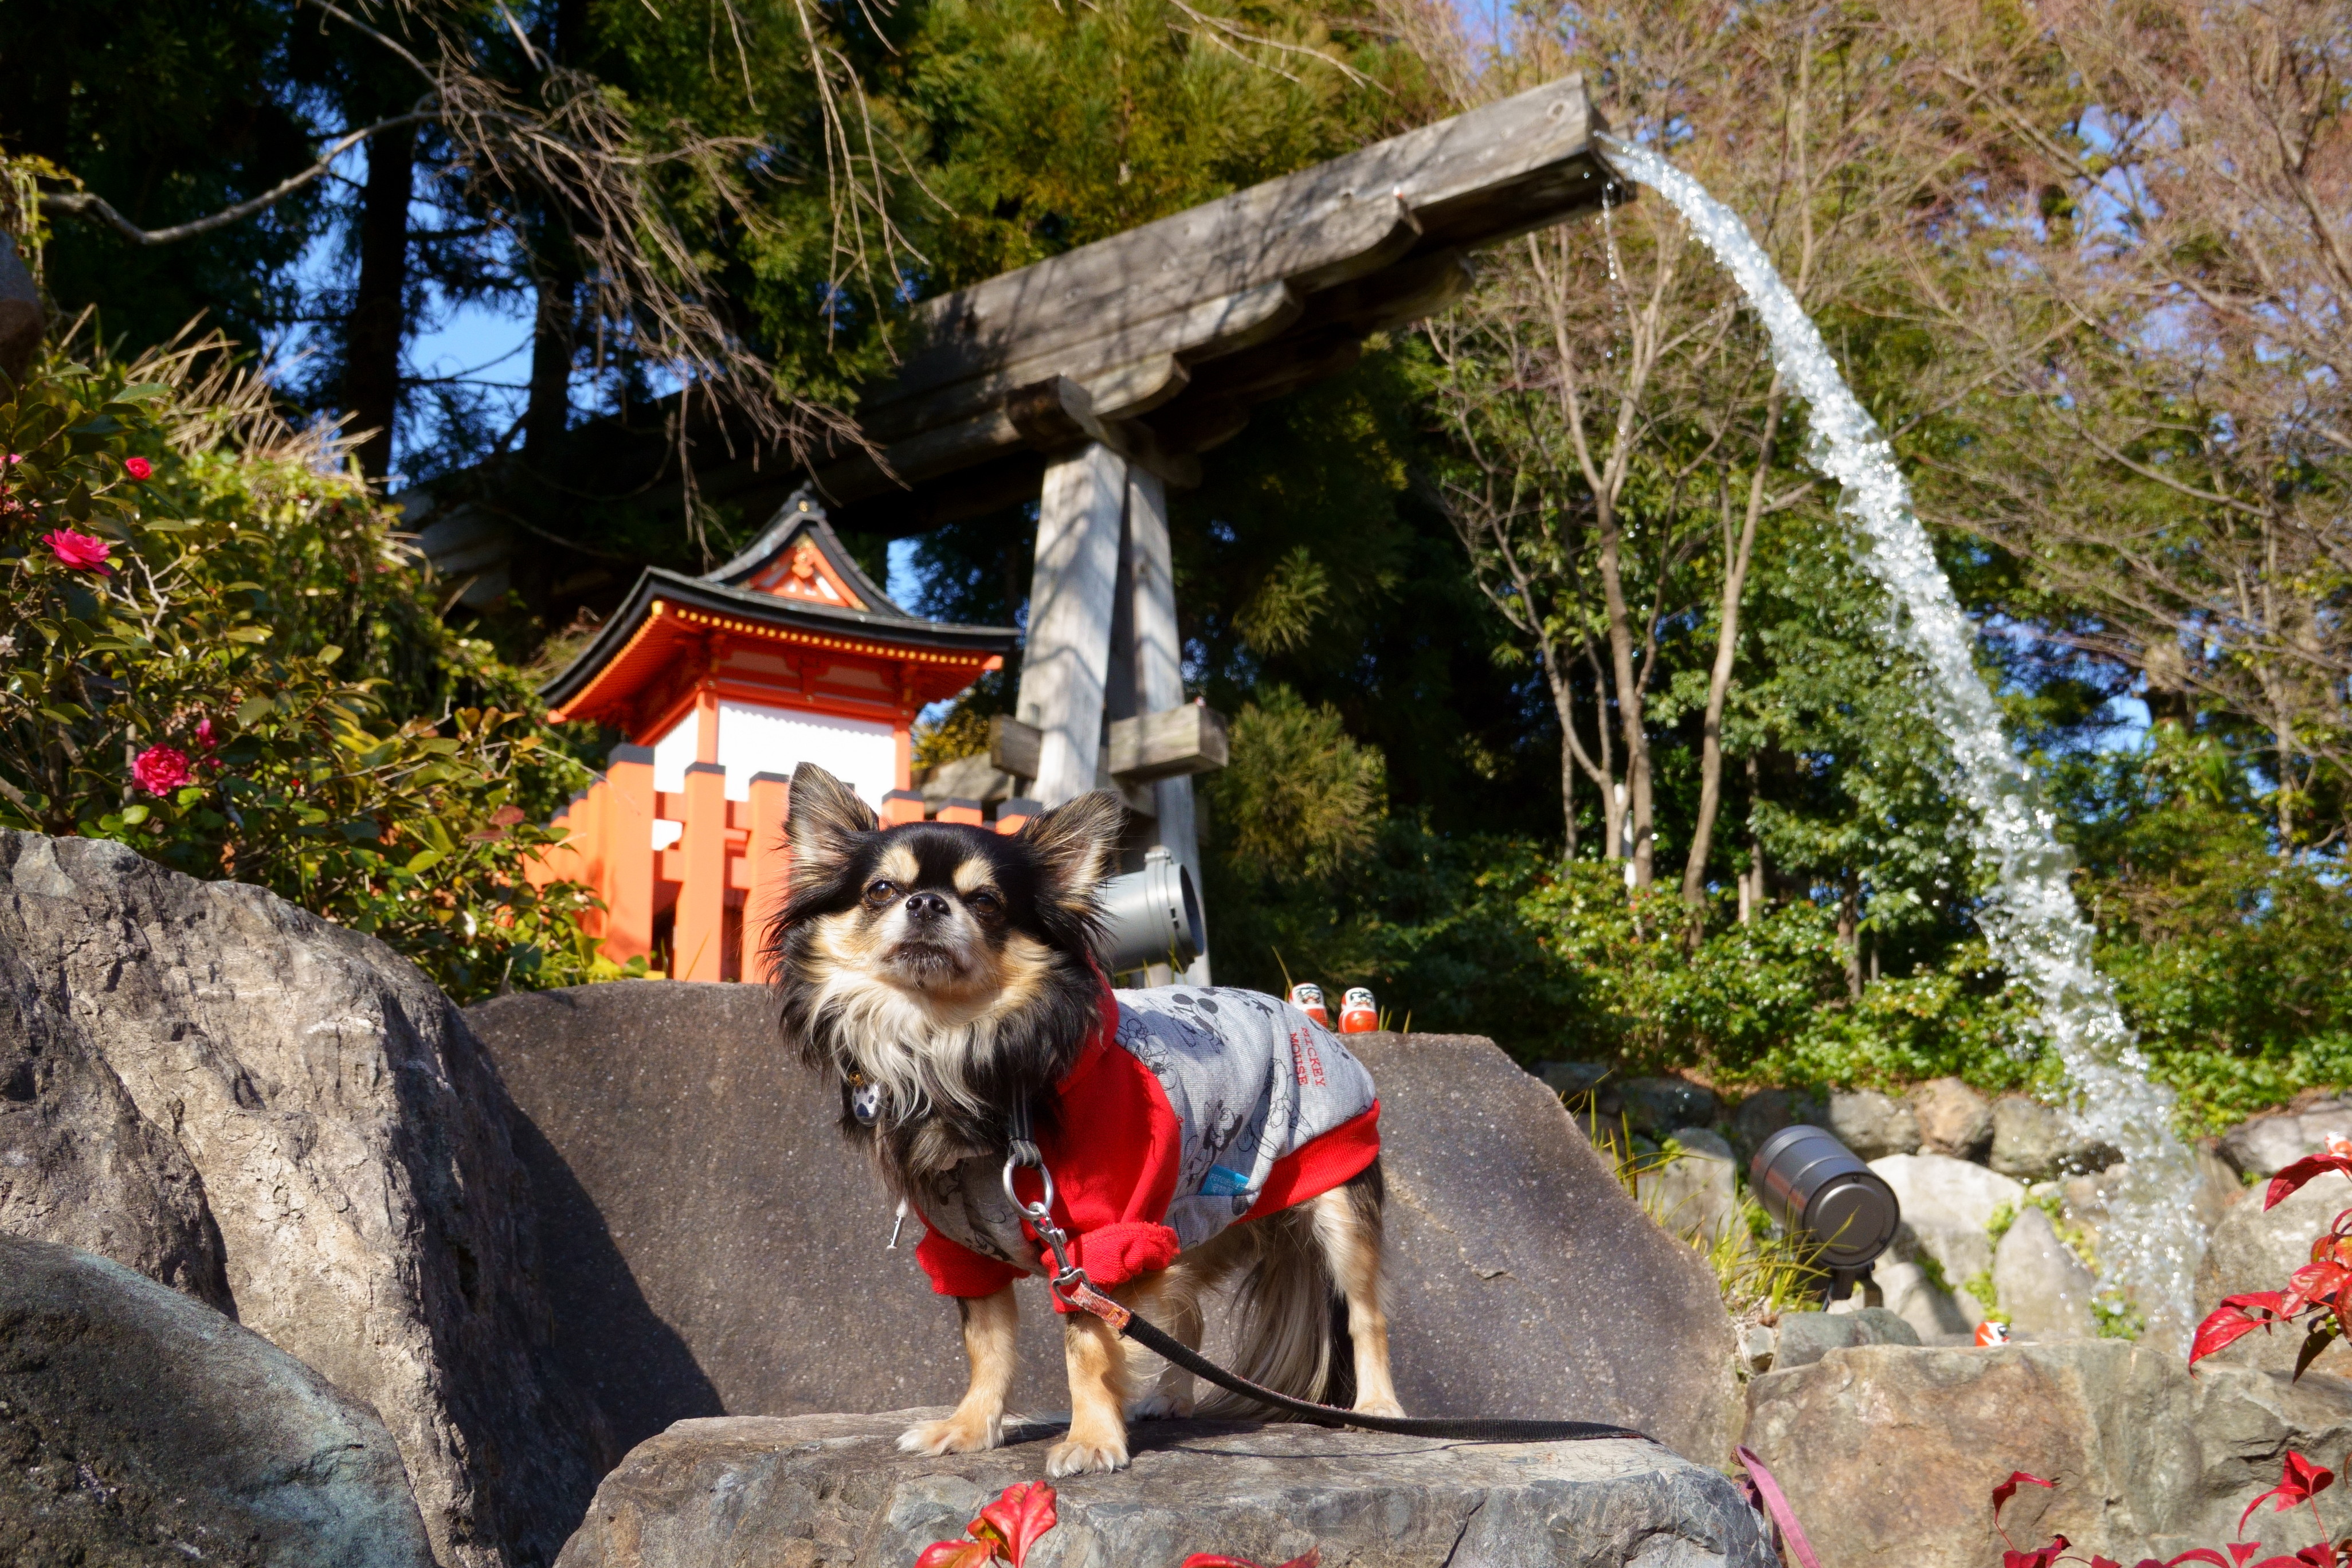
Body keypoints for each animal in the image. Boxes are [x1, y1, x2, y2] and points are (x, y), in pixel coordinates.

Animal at [766, 766, 1392, 1476]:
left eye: (987, 902)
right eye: (880, 891)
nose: (927, 903)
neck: (955, 1050)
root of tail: (1296, 1013)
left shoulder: (1098, 1238)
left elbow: (1088, 1345)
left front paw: (1092, 1438)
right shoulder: (964, 1248)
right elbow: (987, 1348)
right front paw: (971, 1427)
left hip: (1335, 1196)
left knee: (1365, 1314)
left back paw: (1379, 1408)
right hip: (1185, 1216)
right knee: (1188, 1317)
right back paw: (1173, 1398)